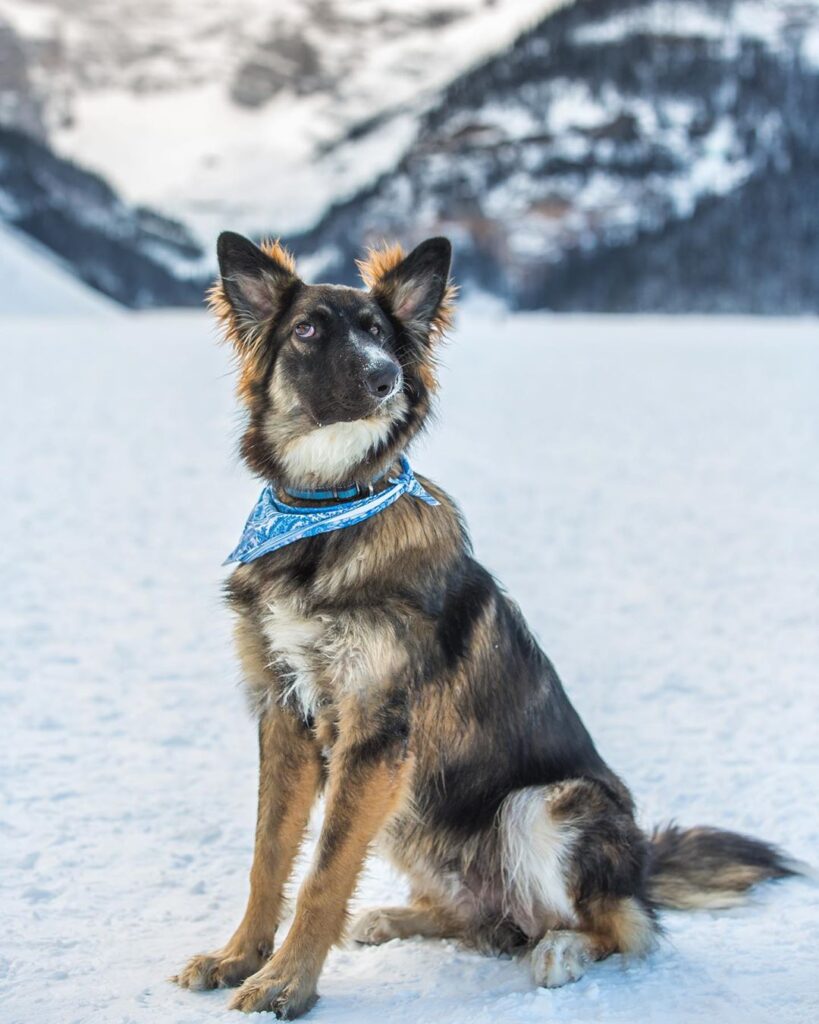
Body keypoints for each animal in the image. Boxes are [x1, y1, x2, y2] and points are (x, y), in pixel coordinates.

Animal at [174, 234, 798, 1015]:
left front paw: (286, 983)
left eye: (380, 334)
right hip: (411, 816)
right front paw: (238, 956)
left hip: (545, 805)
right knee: (477, 921)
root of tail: (643, 868)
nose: (384, 378)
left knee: (619, 928)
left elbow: (323, 873)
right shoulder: (287, 713)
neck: (327, 510)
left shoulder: (376, 734)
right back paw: (397, 918)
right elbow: (269, 857)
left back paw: (561, 951)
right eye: (308, 331)